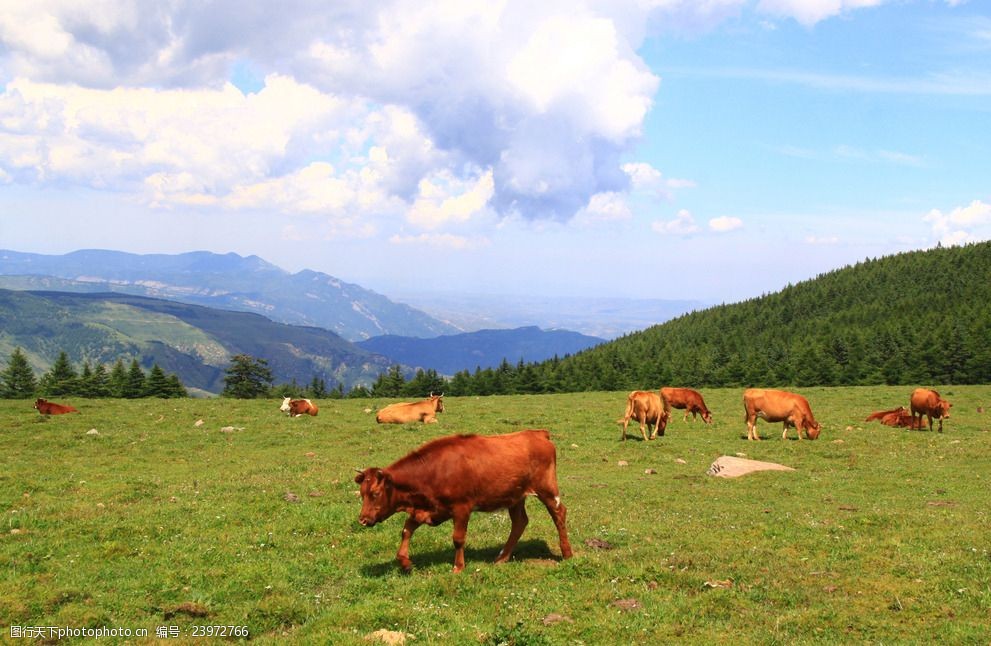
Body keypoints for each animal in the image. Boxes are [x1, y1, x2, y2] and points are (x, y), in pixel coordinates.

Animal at [354, 432, 572, 576]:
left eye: (375, 493)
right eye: (362, 493)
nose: (363, 520)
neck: (434, 471)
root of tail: (537, 433)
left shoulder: (461, 508)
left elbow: (458, 538)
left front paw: (458, 567)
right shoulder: (430, 510)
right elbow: (406, 530)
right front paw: (405, 562)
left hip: (547, 490)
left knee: (559, 513)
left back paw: (567, 552)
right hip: (515, 497)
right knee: (520, 522)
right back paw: (501, 558)